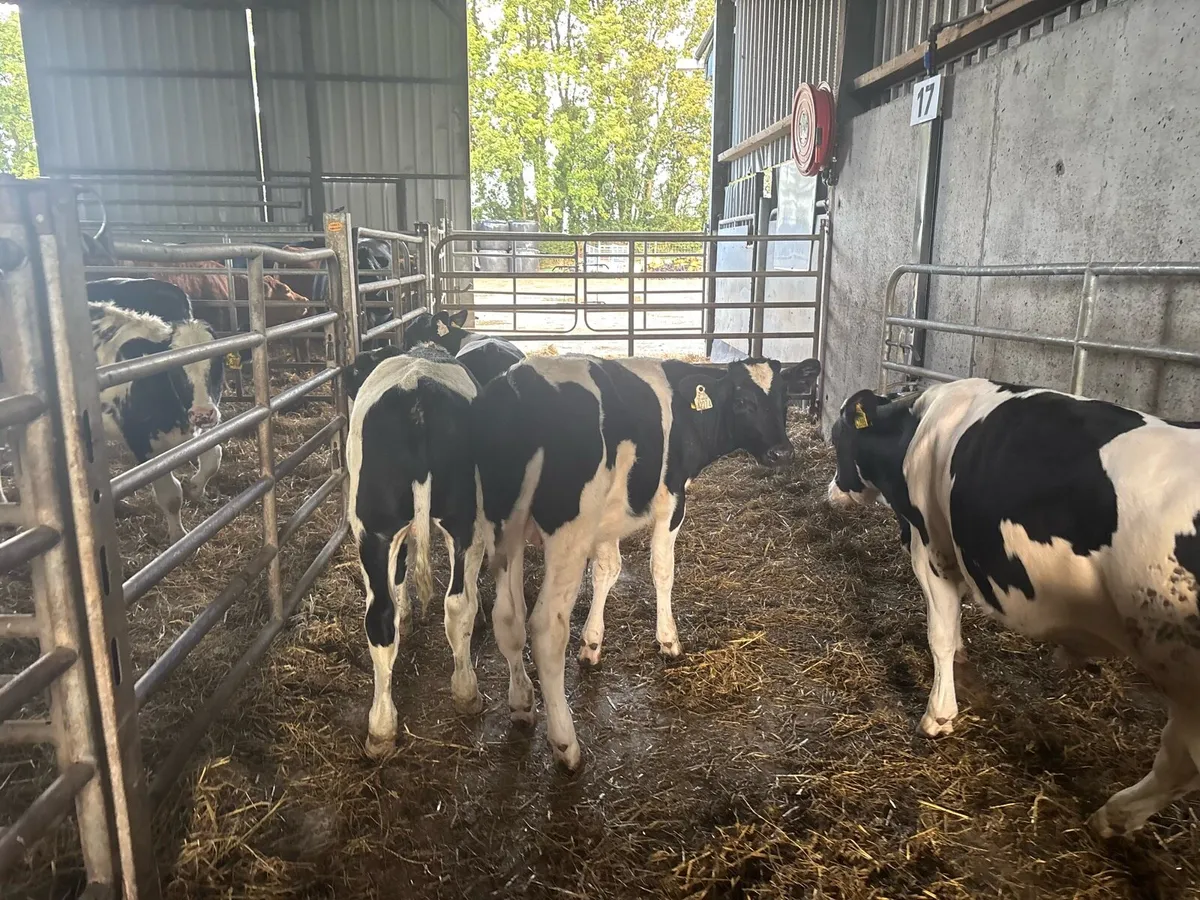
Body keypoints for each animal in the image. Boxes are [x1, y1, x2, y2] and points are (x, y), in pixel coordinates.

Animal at [90, 301, 225, 542]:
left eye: (218, 362)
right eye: (176, 369)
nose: (203, 413)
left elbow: (214, 457)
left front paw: (195, 488)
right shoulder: (144, 446)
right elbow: (170, 495)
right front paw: (178, 536)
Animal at [346, 344, 484, 758]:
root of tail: (416, 393)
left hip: (373, 528)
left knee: (381, 617)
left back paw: (381, 728)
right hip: (463, 520)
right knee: (457, 604)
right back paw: (464, 692)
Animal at [471, 354, 822, 770]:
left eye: (784, 398)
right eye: (742, 401)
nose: (782, 452)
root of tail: (515, 387)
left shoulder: (605, 521)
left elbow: (607, 570)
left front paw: (592, 643)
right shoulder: (671, 499)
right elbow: (662, 571)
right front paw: (669, 640)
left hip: (501, 527)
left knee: (508, 618)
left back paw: (522, 705)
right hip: (565, 534)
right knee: (544, 629)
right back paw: (566, 745)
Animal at [826, 377, 1200, 837]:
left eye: (837, 437)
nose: (831, 493)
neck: (916, 428)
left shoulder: (932, 550)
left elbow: (940, 635)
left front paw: (939, 716)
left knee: (1178, 761)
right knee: (1177, 764)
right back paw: (1114, 817)